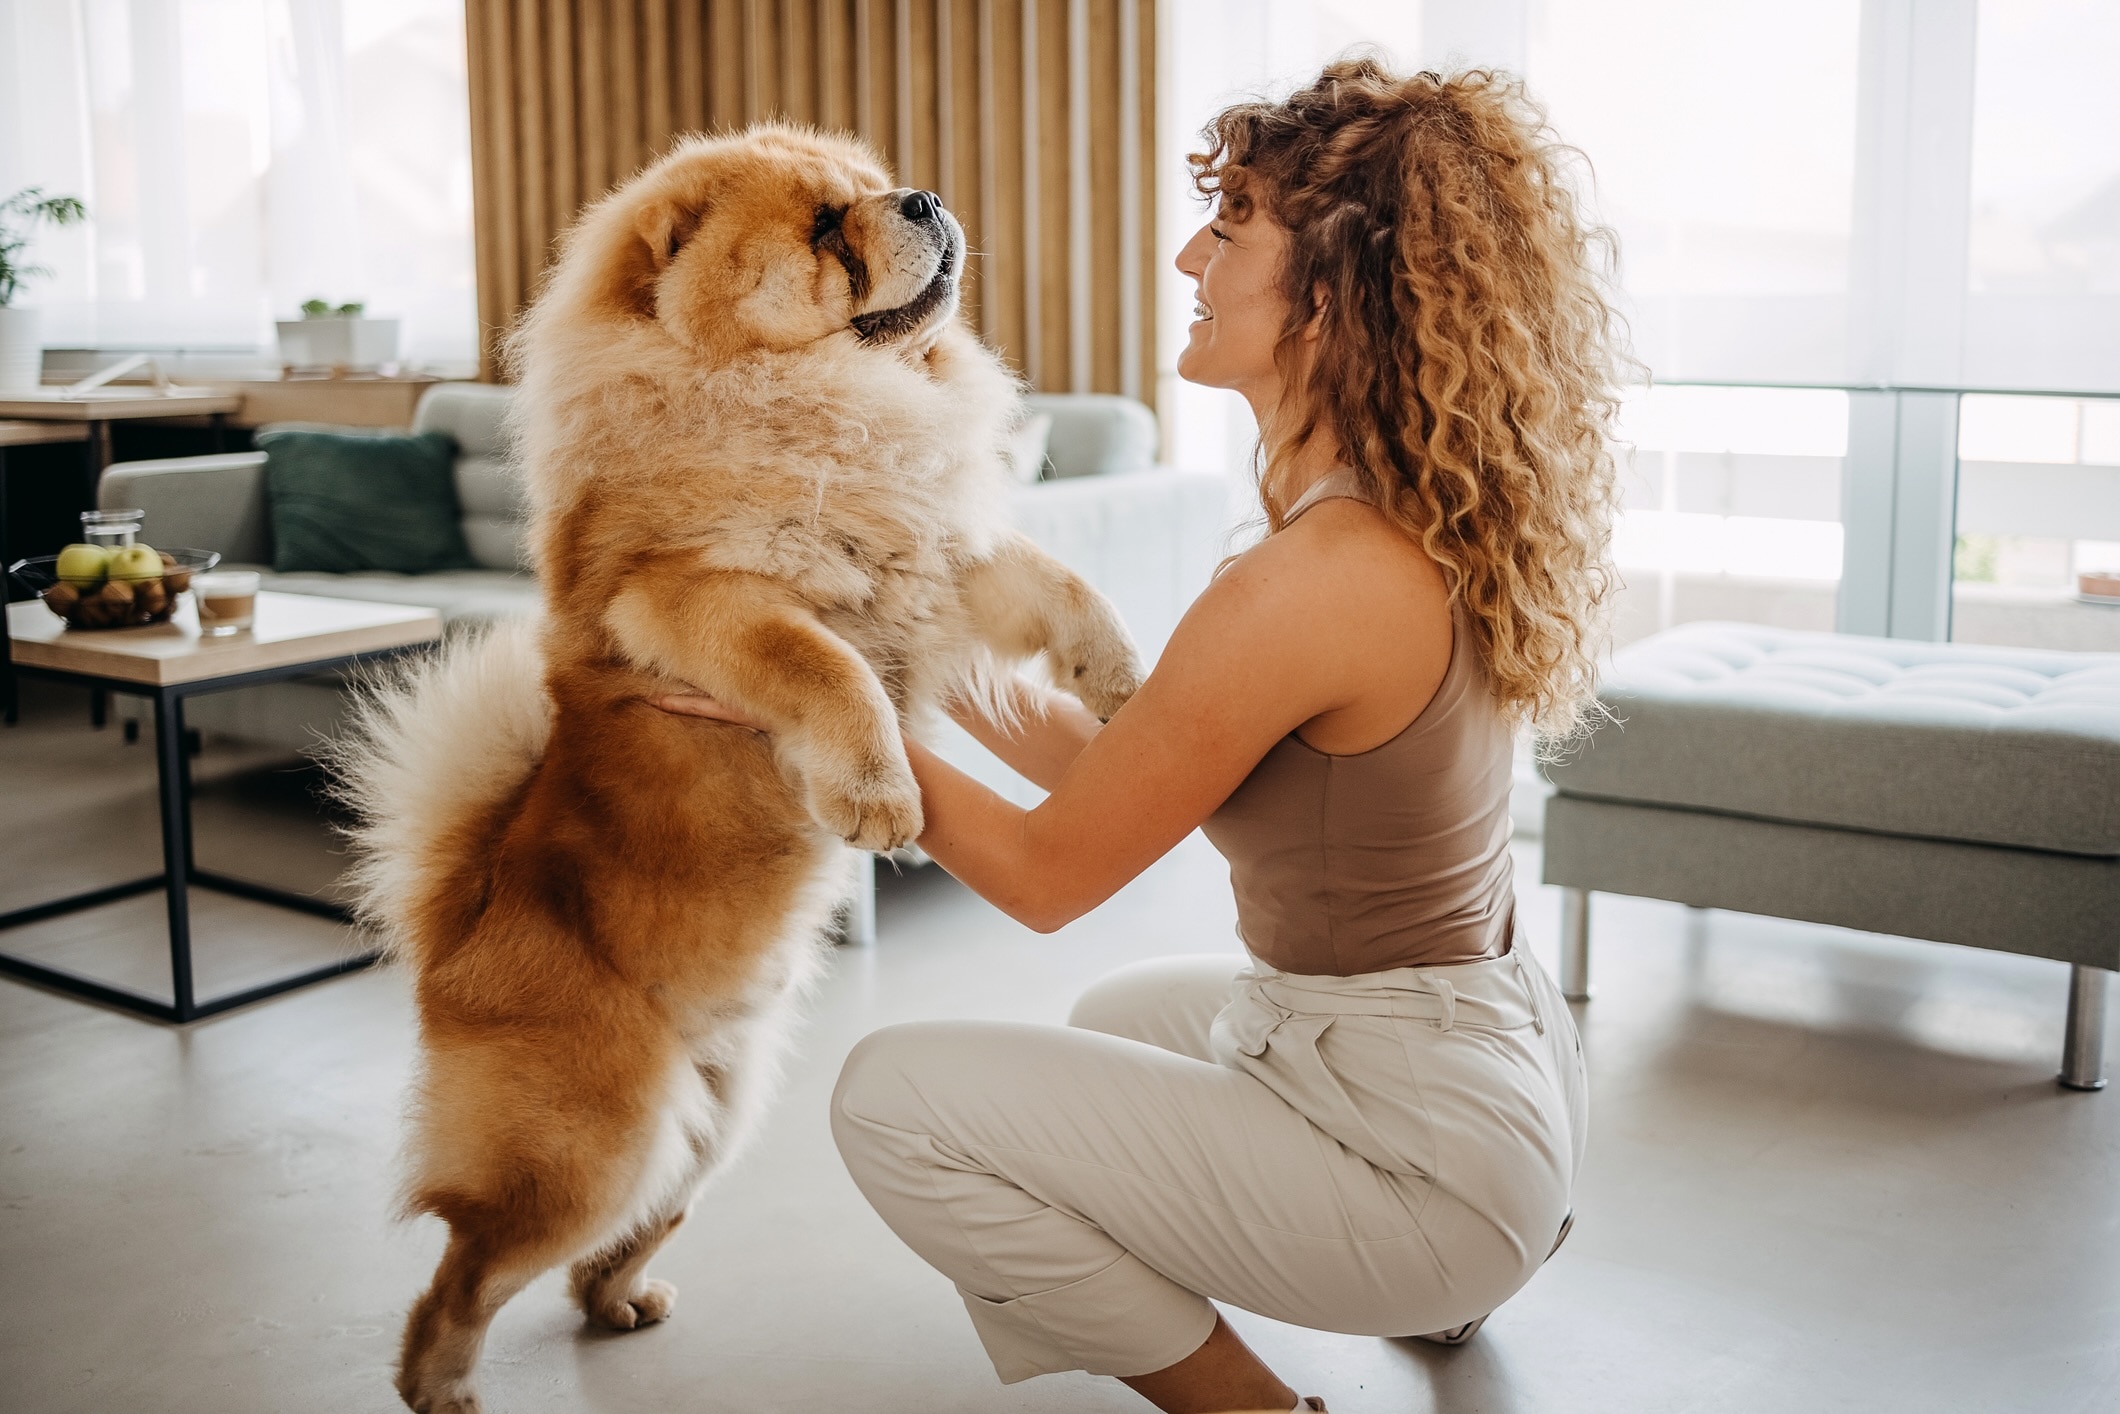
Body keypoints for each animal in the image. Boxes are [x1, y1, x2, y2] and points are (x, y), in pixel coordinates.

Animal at [343, 124, 1144, 1414]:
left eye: (872, 189)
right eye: (823, 226)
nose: (922, 196)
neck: (825, 400)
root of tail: (456, 923)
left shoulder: (931, 550)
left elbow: (1051, 576)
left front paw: (1120, 679)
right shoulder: (706, 597)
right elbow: (828, 666)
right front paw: (880, 797)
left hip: (708, 1129)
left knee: (606, 1246)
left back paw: (622, 1306)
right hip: (594, 1146)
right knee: (462, 1274)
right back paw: (446, 1388)